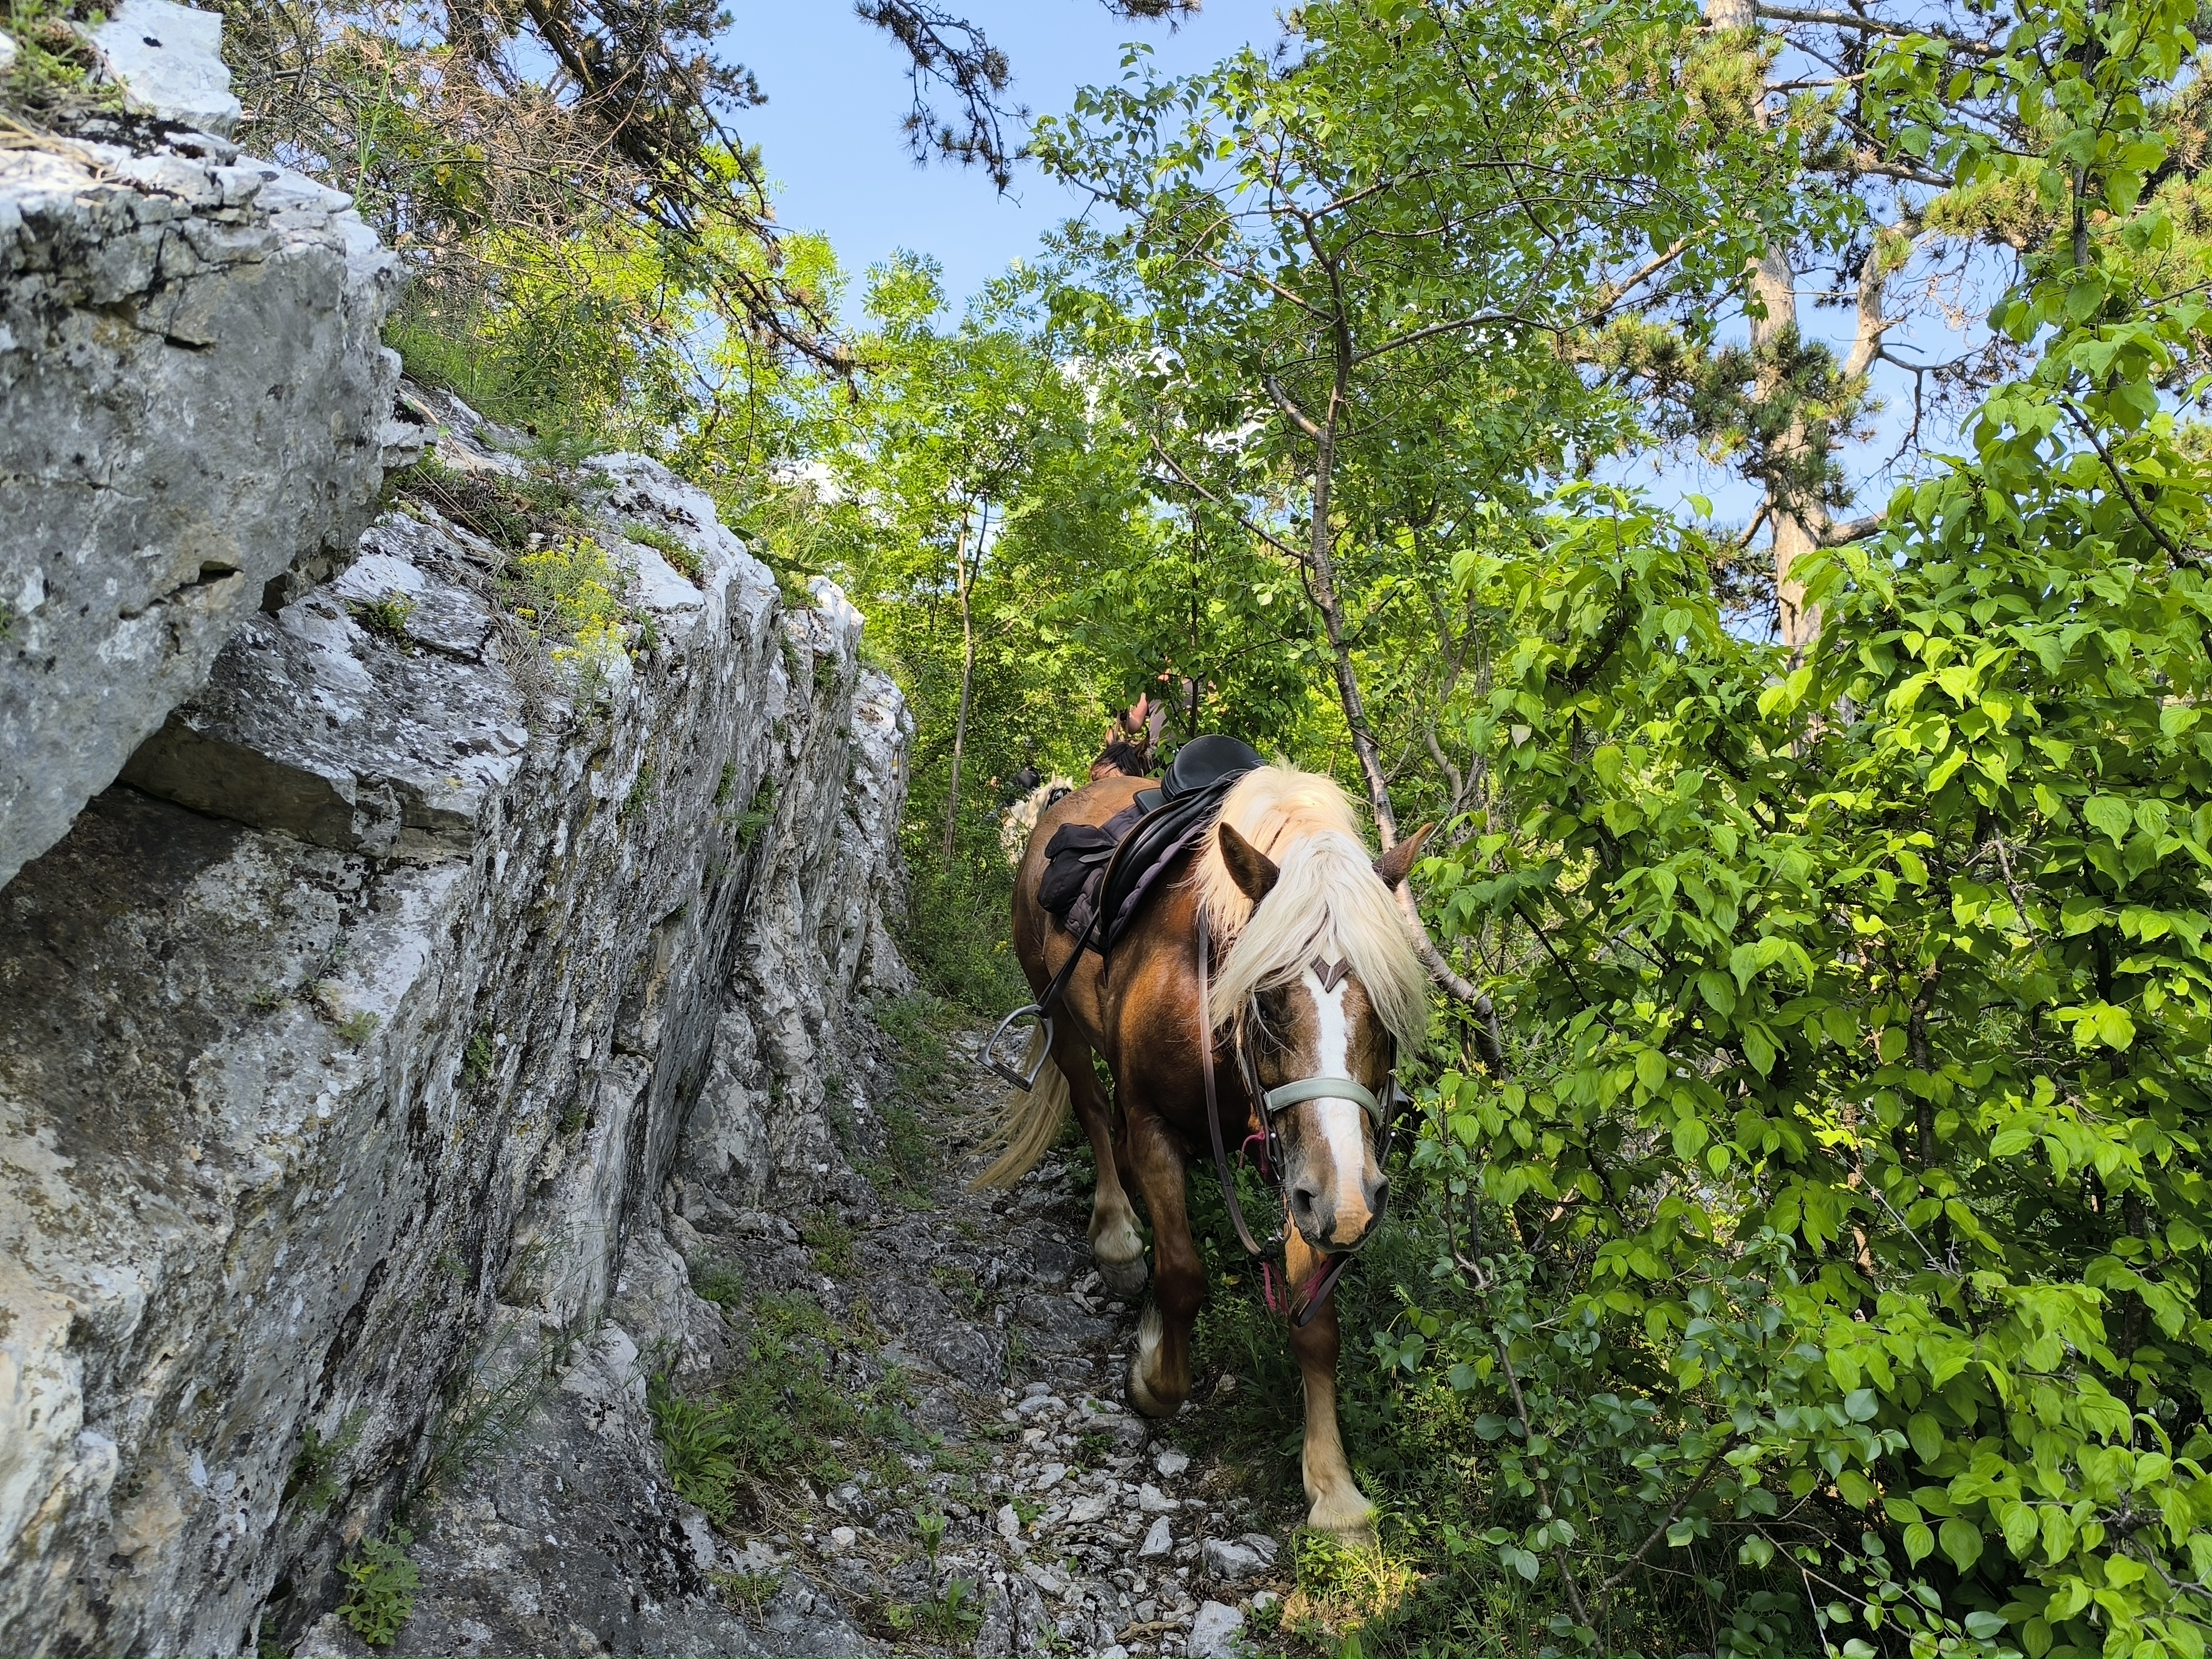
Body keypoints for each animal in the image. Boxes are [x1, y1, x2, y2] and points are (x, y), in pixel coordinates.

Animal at [986, 765, 1433, 1548]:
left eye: (1384, 1010)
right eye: (1269, 1002)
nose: (1354, 1204)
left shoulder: (1306, 1169)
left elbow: (1316, 1326)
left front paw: (1334, 1487)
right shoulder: (1159, 1125)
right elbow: (1184, 1277)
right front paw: (1151, 1373)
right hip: (1062, 1022)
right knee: (1096, 1115)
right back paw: (1117, 1237)